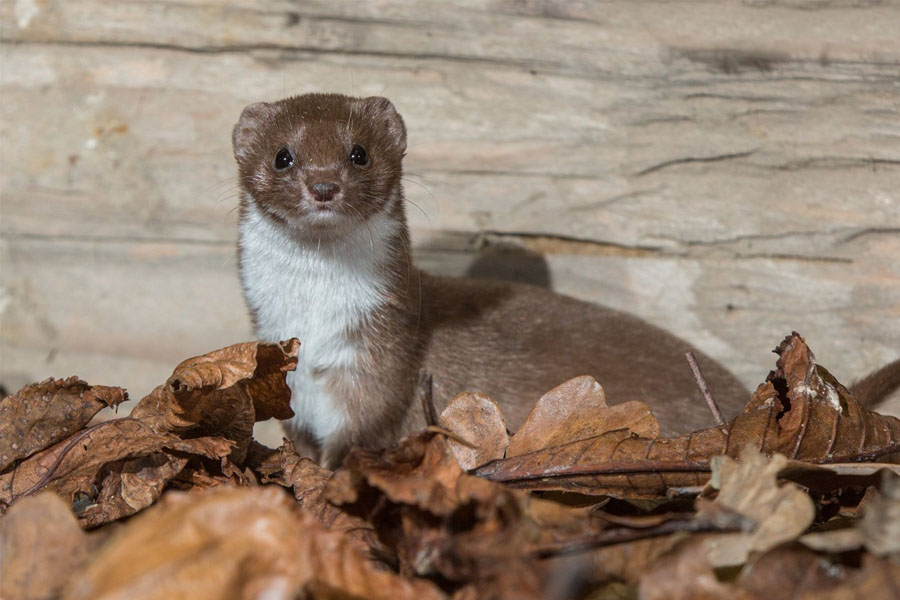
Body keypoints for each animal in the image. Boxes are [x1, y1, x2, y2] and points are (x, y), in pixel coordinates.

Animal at [234, 94, 892, 468]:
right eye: (282, 155)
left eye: (360, 152)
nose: (323, 185)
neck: (318, 322)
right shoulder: (288, 374)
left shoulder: (380, 361)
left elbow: (357, 433)